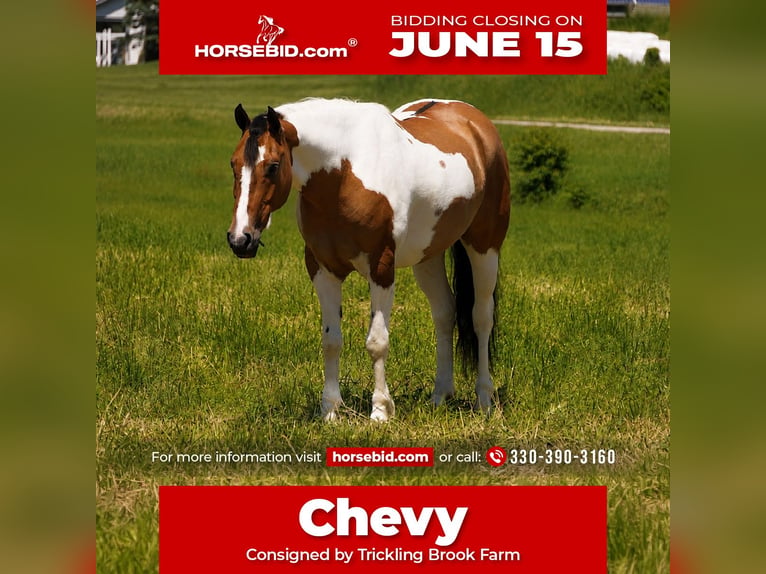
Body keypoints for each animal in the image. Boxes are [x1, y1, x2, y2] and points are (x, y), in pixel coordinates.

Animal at [226, 98, 510, 421]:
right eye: (234, 164)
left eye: (273, 166)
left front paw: (380, 411)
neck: (344, 172)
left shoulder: (381, 268)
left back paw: (484, 399)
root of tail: (475, 122)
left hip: (485, 247)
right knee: (444, 313)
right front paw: (330, 410)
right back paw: (440, 395)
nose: (240, 239)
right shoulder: (322, 270)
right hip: (428, 257)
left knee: (481, 317)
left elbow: (377, 342)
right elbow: (331, 341)